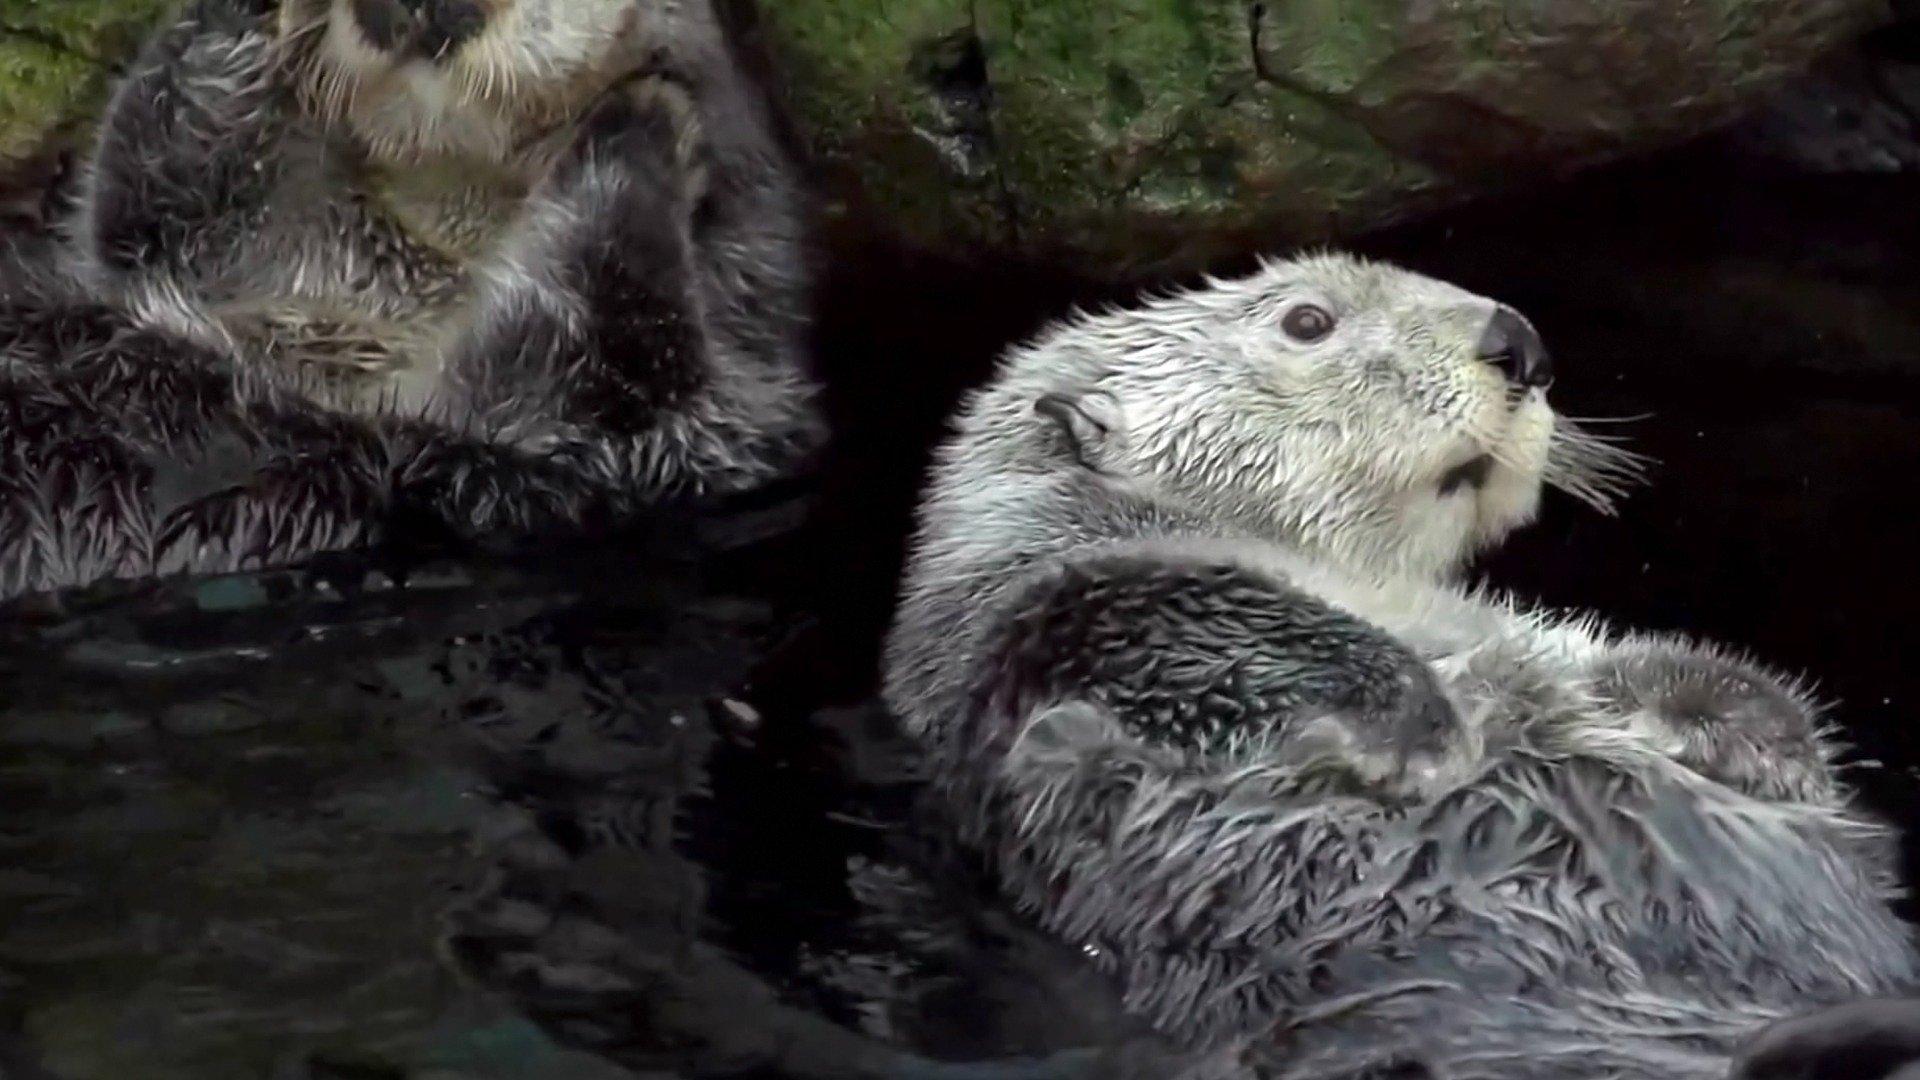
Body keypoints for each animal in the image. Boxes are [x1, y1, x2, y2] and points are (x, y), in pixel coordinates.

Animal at [882, 253, 1920, 1078]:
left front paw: (1756, 744)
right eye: (1307, 321)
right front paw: (1422, 727)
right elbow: (1165, 607)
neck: (1366, 584)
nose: (1519, 343)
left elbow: (1663, 671)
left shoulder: (1534, 637)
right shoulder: (1018, 635)